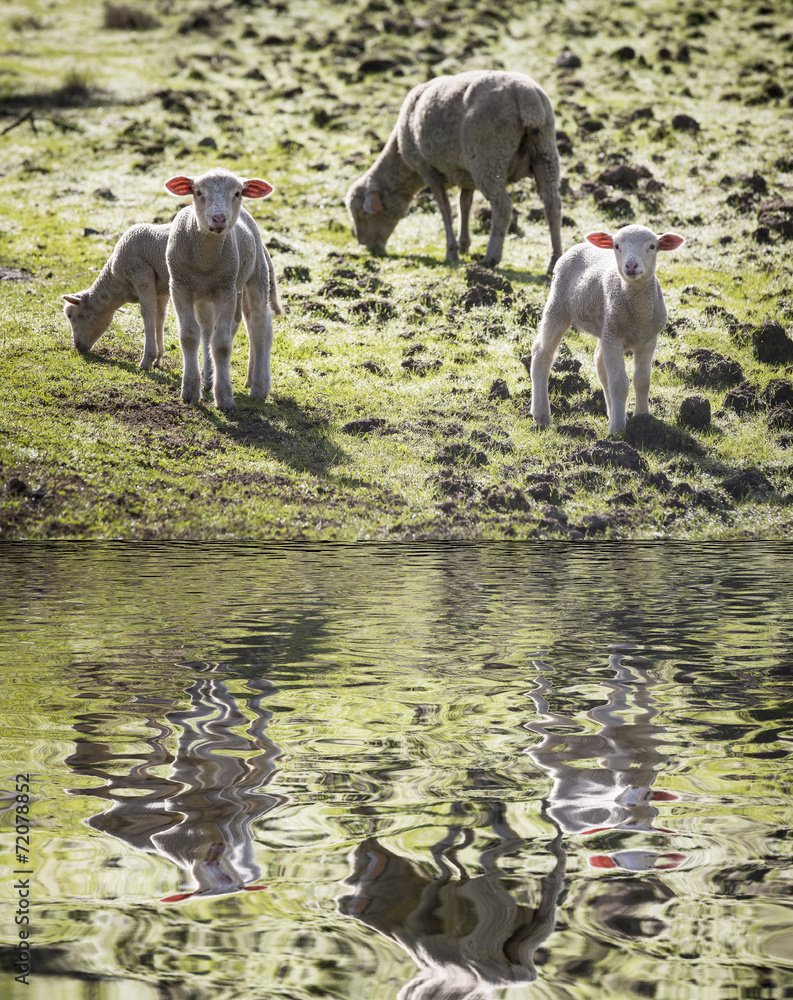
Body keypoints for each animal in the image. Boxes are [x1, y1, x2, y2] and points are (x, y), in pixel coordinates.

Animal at [62, 222, 171, 369]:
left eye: (70, 315)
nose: (77, 347)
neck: (118, 285)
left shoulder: (141, 274)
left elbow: (148, 313)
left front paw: (147, 360)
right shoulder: (162, 290)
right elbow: (160, 317)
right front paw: (158, 359)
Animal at [164, 167, 283, 411]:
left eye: (237, 193)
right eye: (198, 192)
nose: (219, 218)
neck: (205, 262)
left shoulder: (226, 292)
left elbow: (221, 345)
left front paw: (225, 398)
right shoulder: (179, 287)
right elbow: (190, 336)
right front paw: (190, 391)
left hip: (256, 274)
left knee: (260, 326)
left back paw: (259, 387)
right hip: (206, 296)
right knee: (207, 331)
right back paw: (209, 378)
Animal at [345, 70, 563, 271]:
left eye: (362, 215)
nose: (365, 245)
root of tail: (526, 95)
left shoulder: (427, 169)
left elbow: (445, 209)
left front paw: (452, 252)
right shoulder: (467, 173)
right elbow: (464, 204)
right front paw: (464, 245)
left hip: (490, 157)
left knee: (502, 206)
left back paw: (491, 257)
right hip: (543, 150)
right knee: (552, 204)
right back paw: (554, 260)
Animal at [529, 224, 685, 434]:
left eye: (652, 246)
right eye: (616, 246)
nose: (631, 266)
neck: (638, 315)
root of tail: (579, 245)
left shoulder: (648, 339)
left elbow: (642, 380)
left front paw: (642, 418)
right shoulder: (614, 337)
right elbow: (619, 383)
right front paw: (618, 429)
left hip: (604, 326)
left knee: (599, 363)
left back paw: (612, 412)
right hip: (558, 305)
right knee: (542, 352)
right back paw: (541, 415)